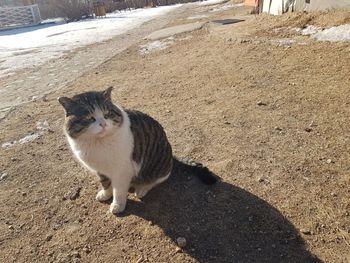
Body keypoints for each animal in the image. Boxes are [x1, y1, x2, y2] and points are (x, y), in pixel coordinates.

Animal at [57, 87, 216, 216]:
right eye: (90, 118)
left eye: (107, 114)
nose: (103, 124)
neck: (98, 143)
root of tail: (172, 157)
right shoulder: (100, 170)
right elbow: (106, 183)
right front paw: (105, 193)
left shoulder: (121, 171)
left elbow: (119, 191)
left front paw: (117, 205)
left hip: (156, 166)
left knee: (158, 179)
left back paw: (142, 188)